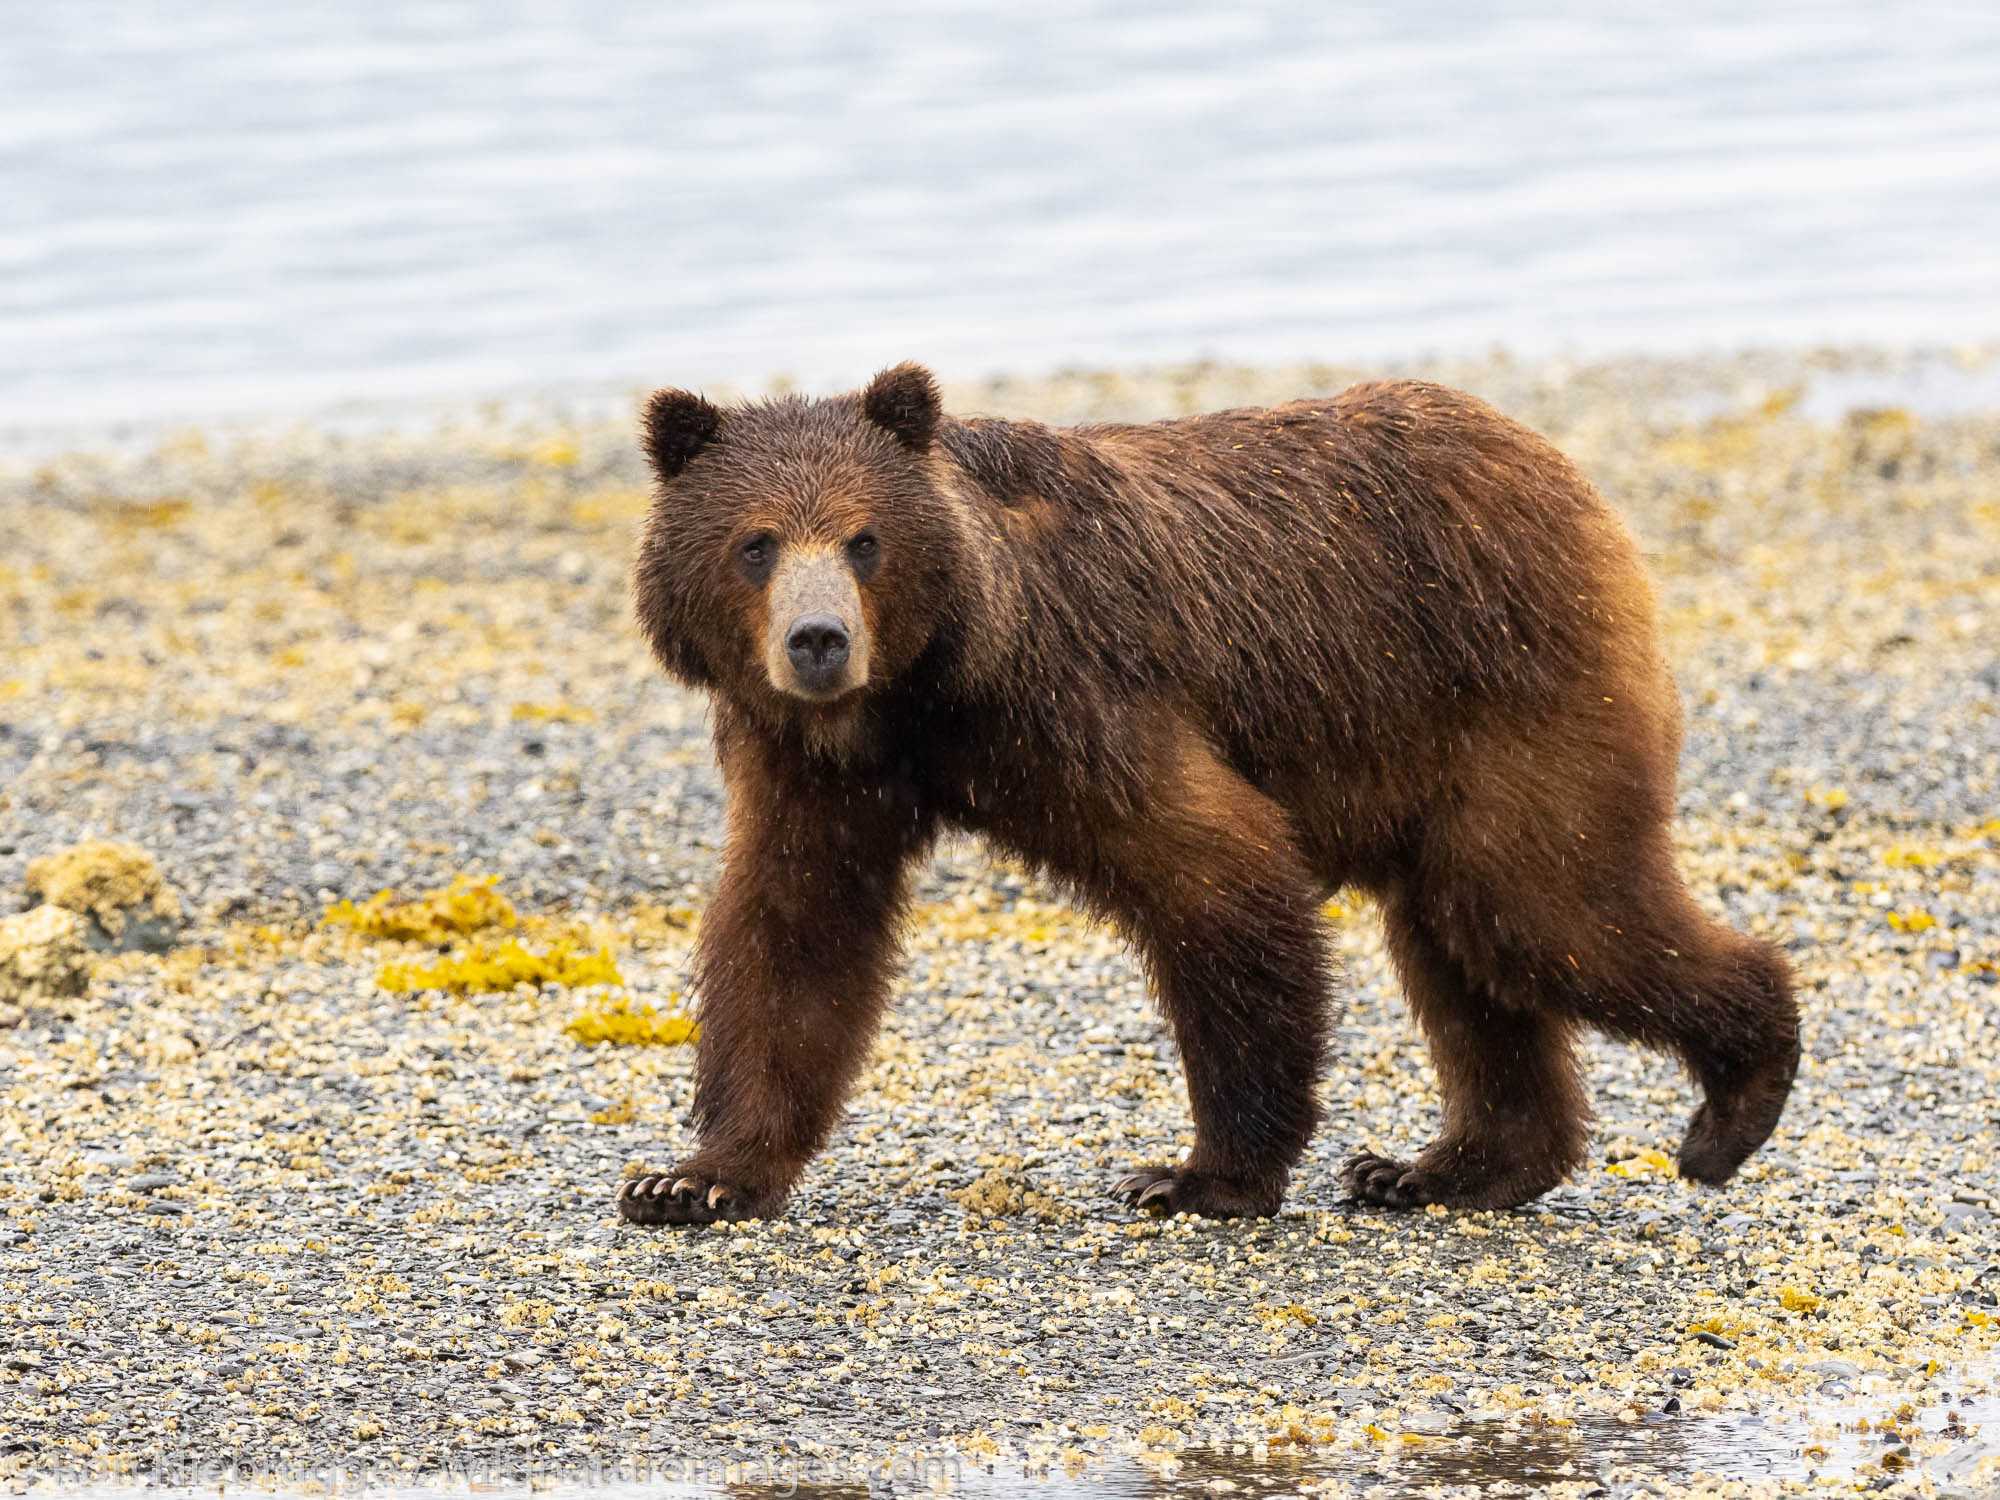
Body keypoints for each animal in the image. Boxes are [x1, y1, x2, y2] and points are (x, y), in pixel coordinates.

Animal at [612, 364, 1800, 1232]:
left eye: (863, 538)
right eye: (756, 542)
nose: (818, 640)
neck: (925, 691)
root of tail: (1550, 462)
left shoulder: (1078, 699)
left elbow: (1214, 871)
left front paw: (1197, 1175)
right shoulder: (809, 766)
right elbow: (793, 932)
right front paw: (694, 1177)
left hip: (1506, 689)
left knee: (1543, 908)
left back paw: (1734, 1098)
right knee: (1460, 945)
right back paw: (1448, 1166)